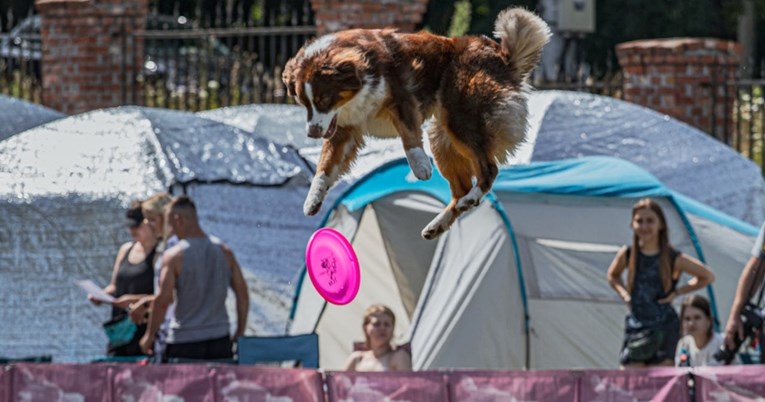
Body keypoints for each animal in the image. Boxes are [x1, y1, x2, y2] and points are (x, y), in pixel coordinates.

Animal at [284, 7, 548, 239]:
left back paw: (470, 199)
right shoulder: (344, 129)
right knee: (461, 188)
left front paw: (420, 166)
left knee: (489, 169)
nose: (312, 133)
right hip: (441, 137)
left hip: (460, 119)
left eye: (323, 100)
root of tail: (502, 57)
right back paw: (439, 223)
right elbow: (325, 165)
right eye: (303, 102)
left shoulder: (402, 96)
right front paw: (312, 199)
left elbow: (409, 135)